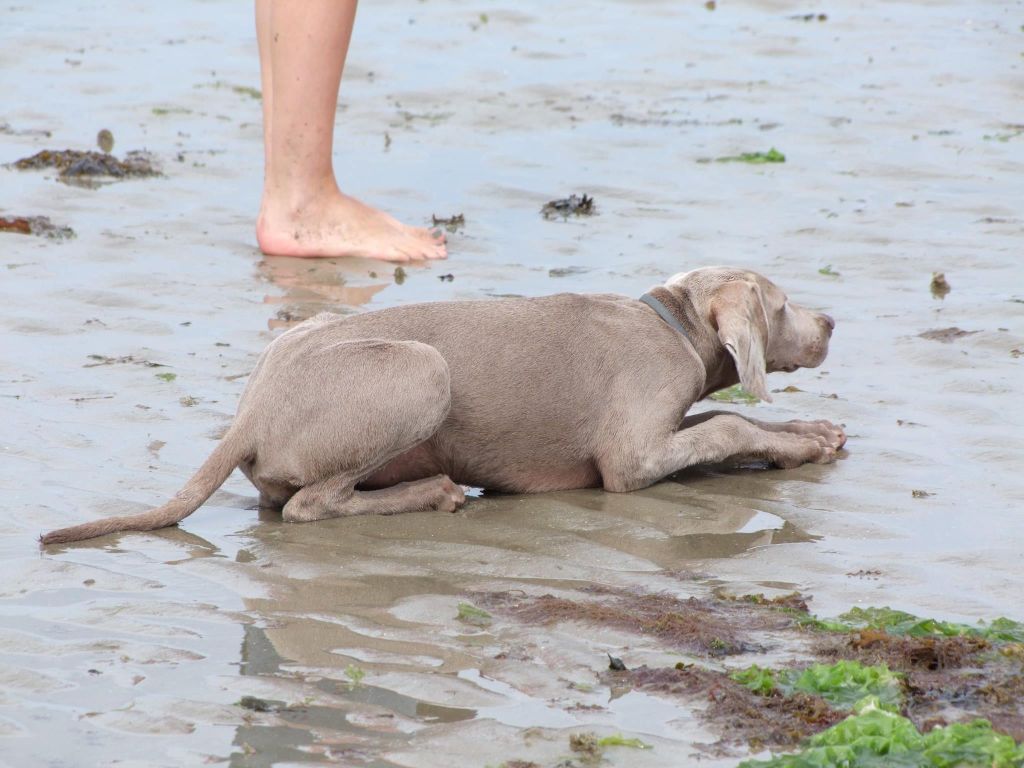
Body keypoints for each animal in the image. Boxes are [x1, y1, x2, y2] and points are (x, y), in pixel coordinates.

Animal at [39, 268, 843, 544]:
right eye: (781, 305)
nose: (833, 323)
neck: (671, 318)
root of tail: (248, 416)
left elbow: (728, 421)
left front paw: (812, 431)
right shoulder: (631, 458)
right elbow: (728, 421)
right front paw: (802, 440)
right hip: (424, 371)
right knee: (310, 507)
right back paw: (436, 492)